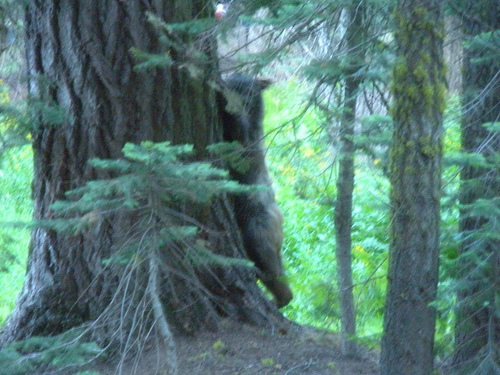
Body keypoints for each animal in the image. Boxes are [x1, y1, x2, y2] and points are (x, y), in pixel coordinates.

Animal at [219, 74, 292, 308]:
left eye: (243, 84)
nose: (227, 78)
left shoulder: (248, 143)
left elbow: (239, 135)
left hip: (259, 223)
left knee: (264, 254)